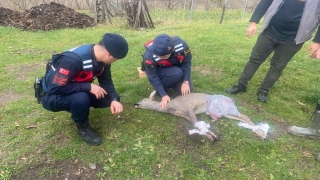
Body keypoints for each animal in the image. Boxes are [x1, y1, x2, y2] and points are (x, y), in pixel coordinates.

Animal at [135, 92, 268, 141]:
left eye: (143, 99)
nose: (135, 104)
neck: (170, 107)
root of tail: (232, 100)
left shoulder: (188, 108)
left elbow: (197, 123)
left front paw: (212, 137)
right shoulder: (185, 115)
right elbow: (197, 125)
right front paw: (211, 136)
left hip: (226, 109)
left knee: (244, 115)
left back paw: (261, 132)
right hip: (227, 113)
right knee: (243, 117)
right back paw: (260, 133)